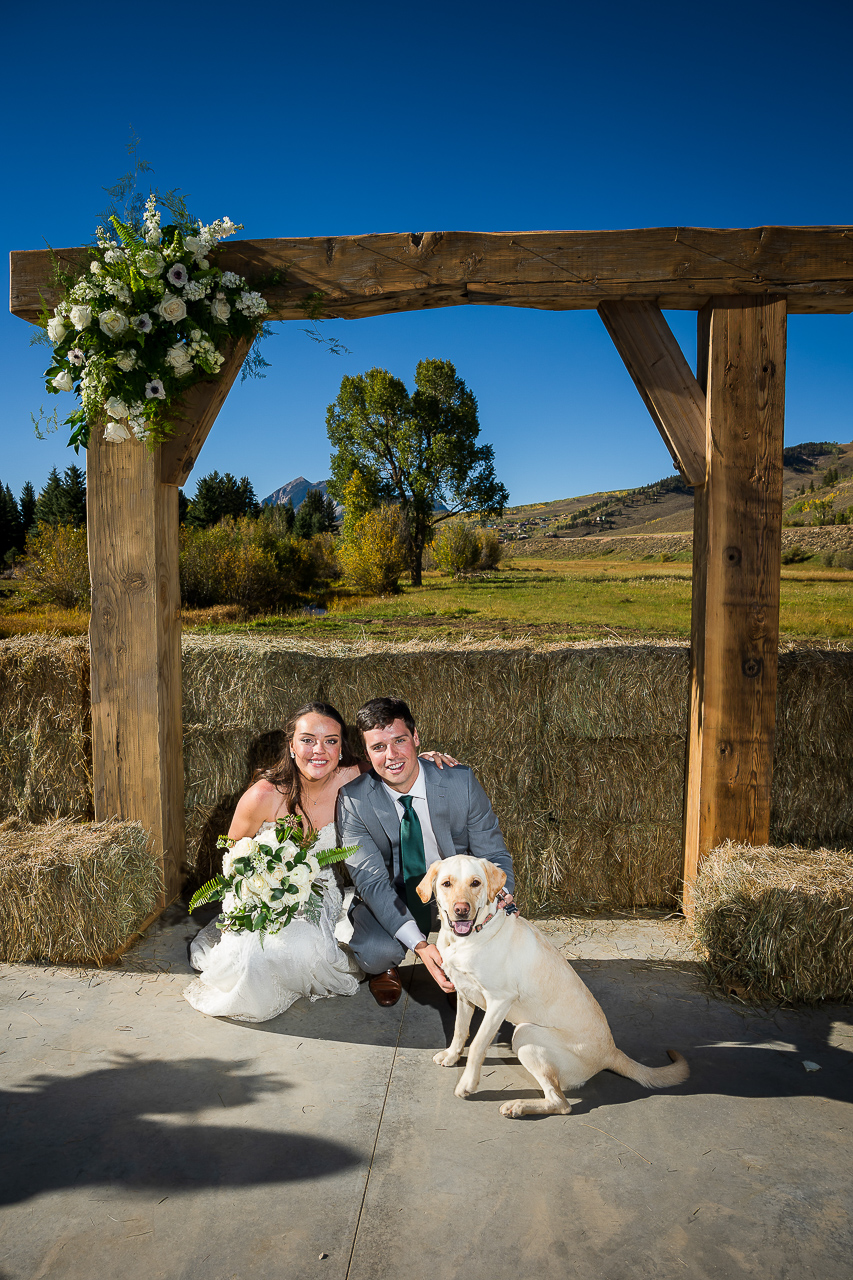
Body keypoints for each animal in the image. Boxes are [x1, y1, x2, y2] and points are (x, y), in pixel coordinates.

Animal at [414, 860, 686, 1121]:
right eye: (446, 883)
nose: (461, 910)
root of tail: (611, 1052)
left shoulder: (499, 1001)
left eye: (475, 883)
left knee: (561, 1103)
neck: (466, 939)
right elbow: (460, 1030)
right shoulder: (463, 992)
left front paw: (467, 1084)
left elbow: (478, 1044)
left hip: (525, 1034)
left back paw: (518, 1106)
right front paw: (452, 1056)